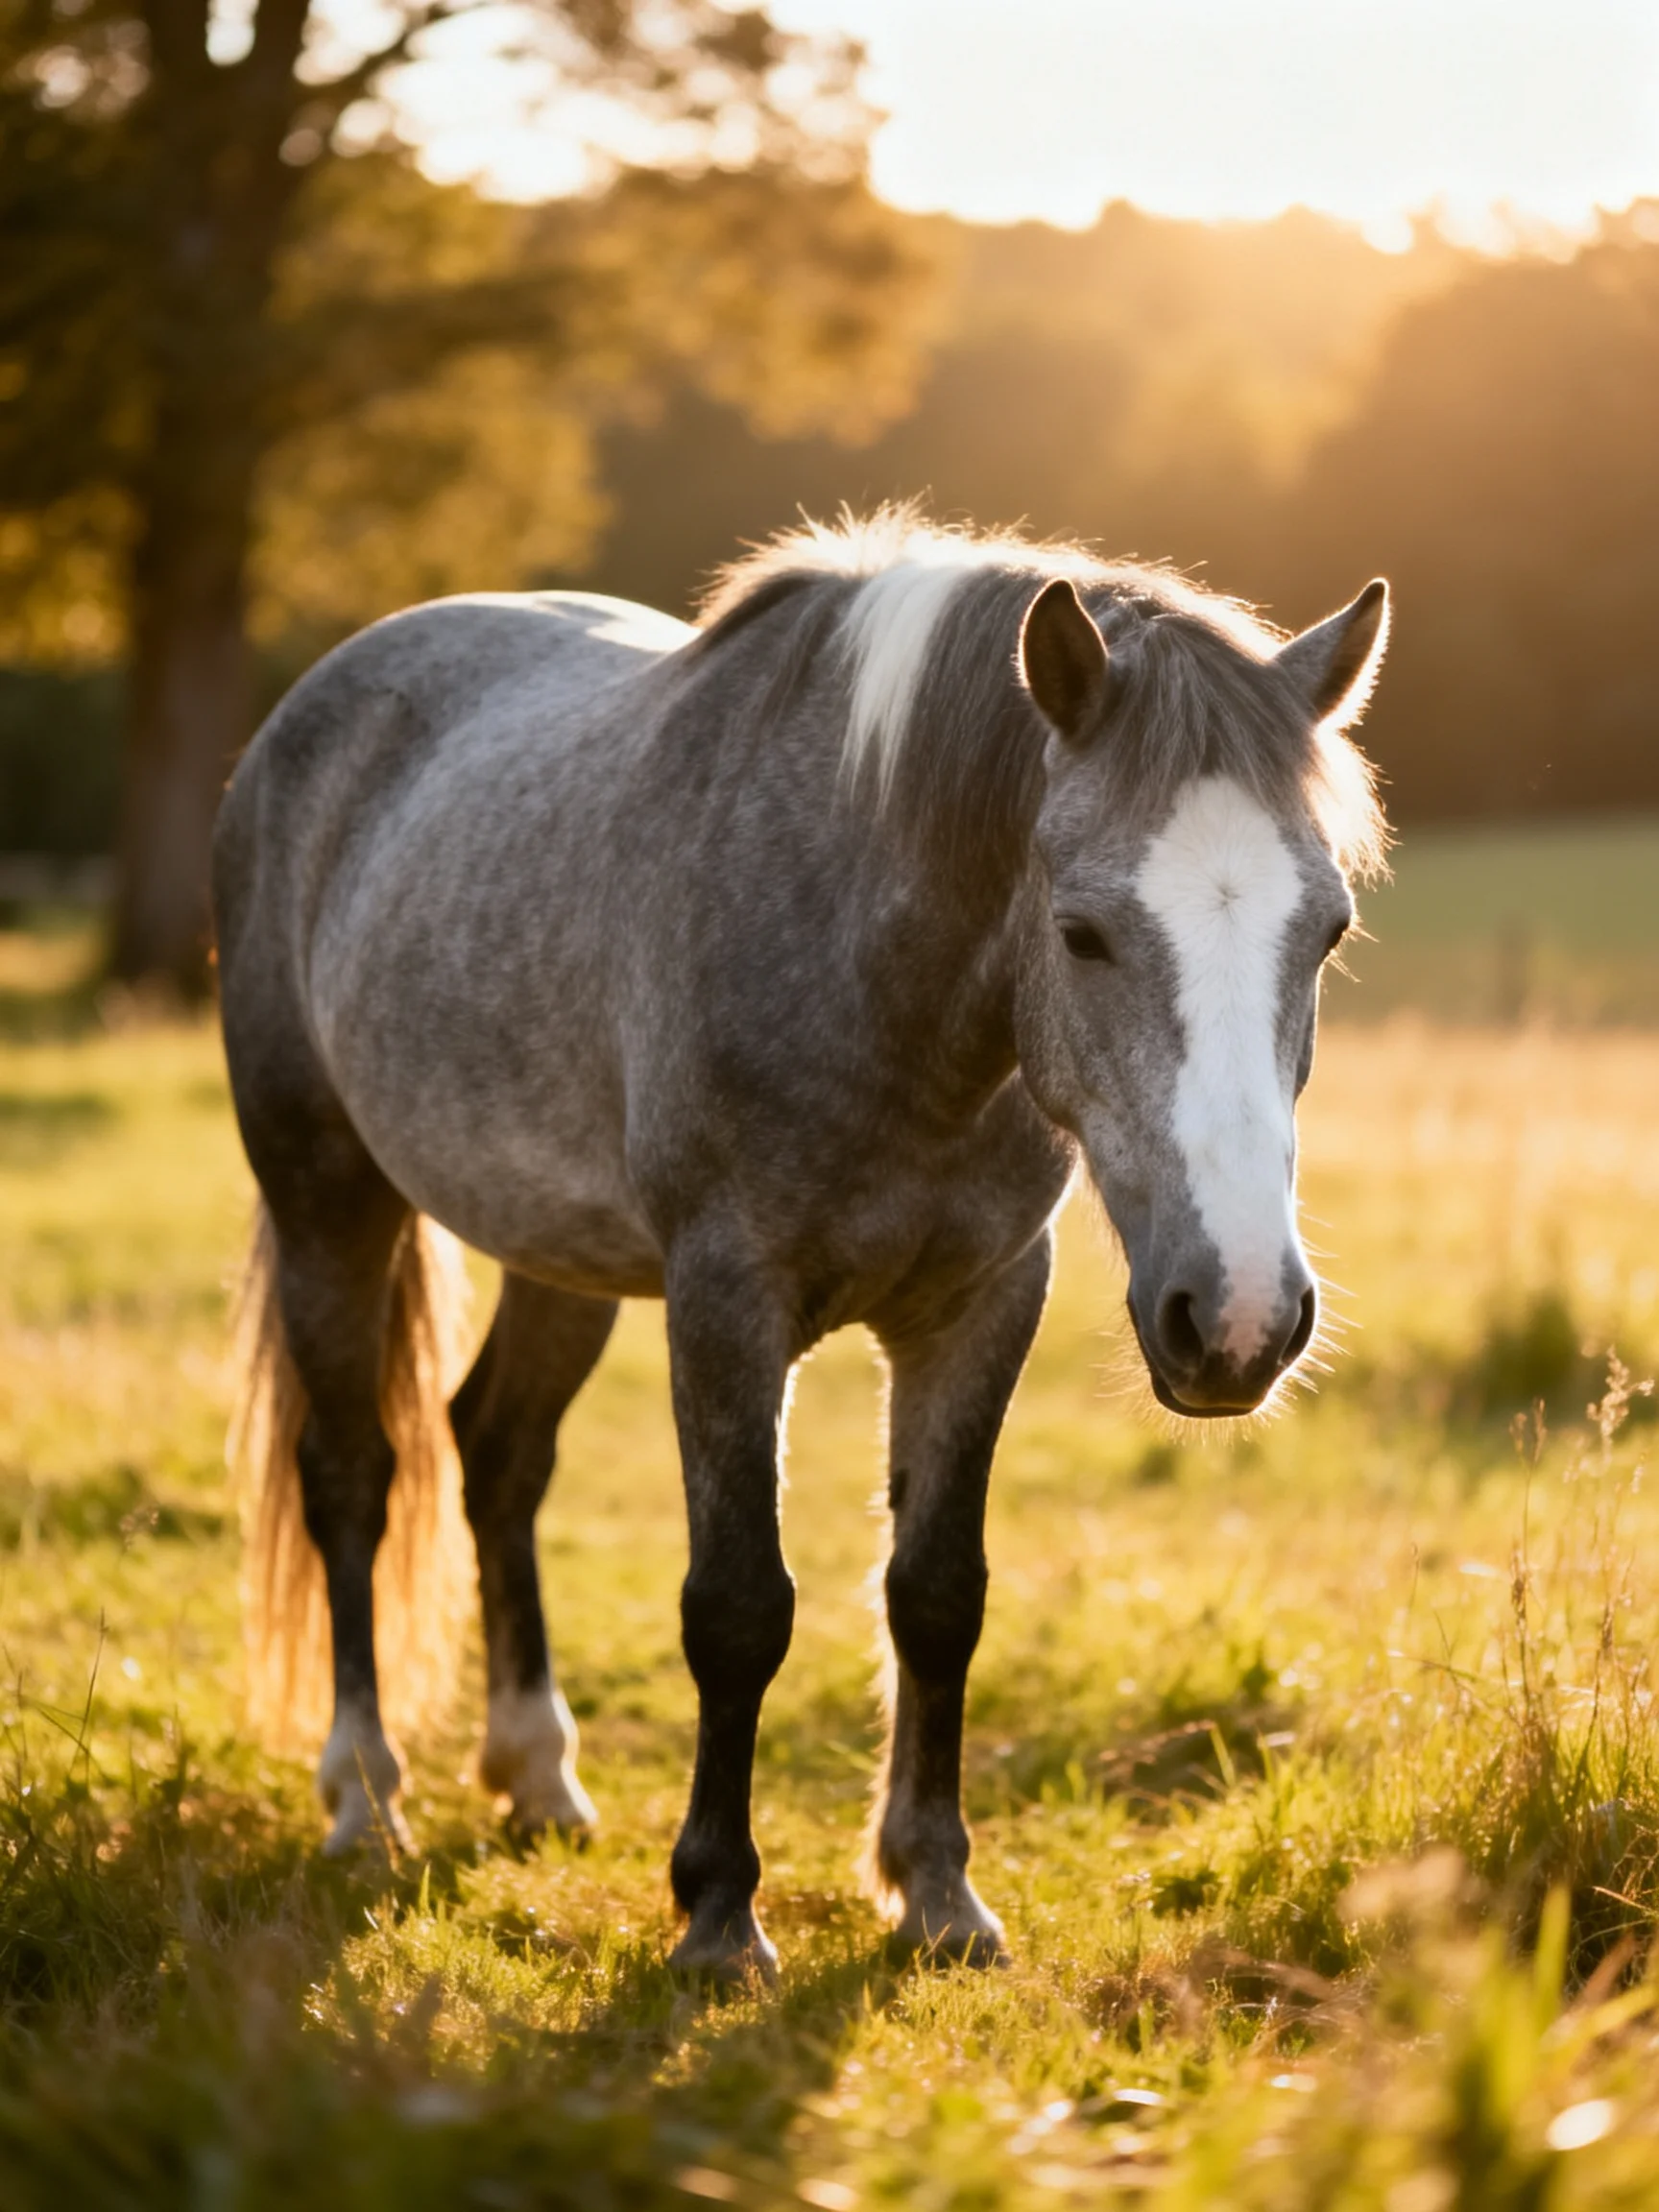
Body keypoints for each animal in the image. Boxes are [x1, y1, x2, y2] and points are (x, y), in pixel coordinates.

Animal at [213, 508, 1389, 1981]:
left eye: (1328, 930)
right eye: (1083, 932)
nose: (1237, 1321)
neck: (869, 964)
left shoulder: (982, 1302)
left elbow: (937, 1593)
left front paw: (936, 1892)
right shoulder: (726, 1301)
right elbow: (737, 1606)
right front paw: (719, 1914)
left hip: (558, 1253)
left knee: (497, 1450)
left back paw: (536, 1771)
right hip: (328, 1199)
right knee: (352, 1477)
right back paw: (366, 1797)